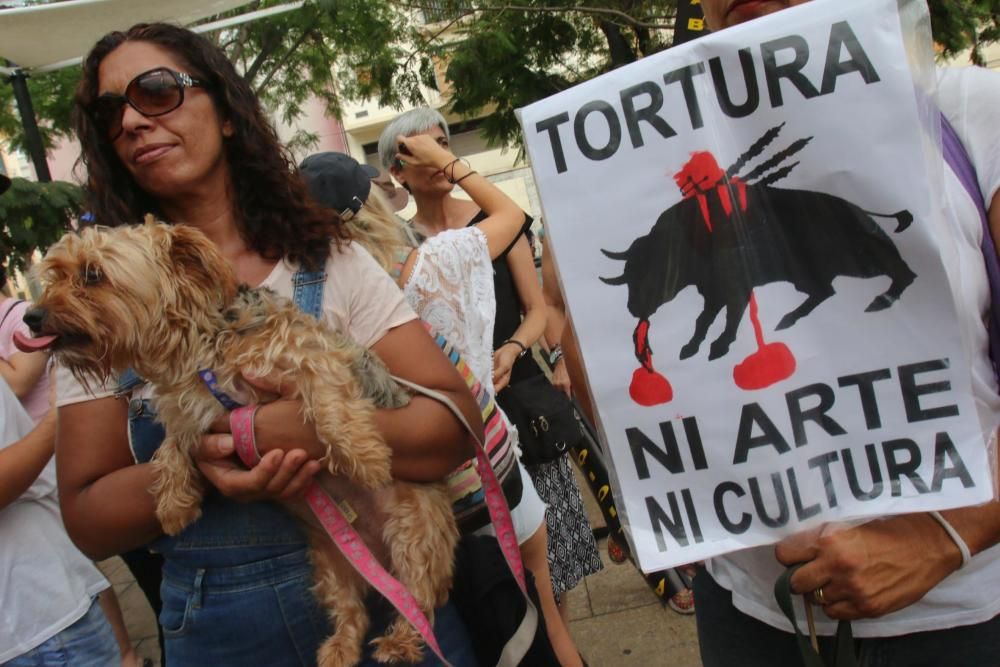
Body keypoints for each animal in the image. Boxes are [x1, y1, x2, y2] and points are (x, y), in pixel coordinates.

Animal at [20, 220, 458, 667]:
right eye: (54, 274)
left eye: (92, 274)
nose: (30, 316)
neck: (197, 347)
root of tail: (376, 555)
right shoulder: (192, 415)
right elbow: (169, 449)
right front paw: (173, 504)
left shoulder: (311, 356)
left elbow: (329, 404)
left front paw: (364, 457)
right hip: (329, 559)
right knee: (351, 607)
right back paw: (339, 648)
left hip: (415, 531)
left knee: (420, 595)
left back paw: (400, 642)